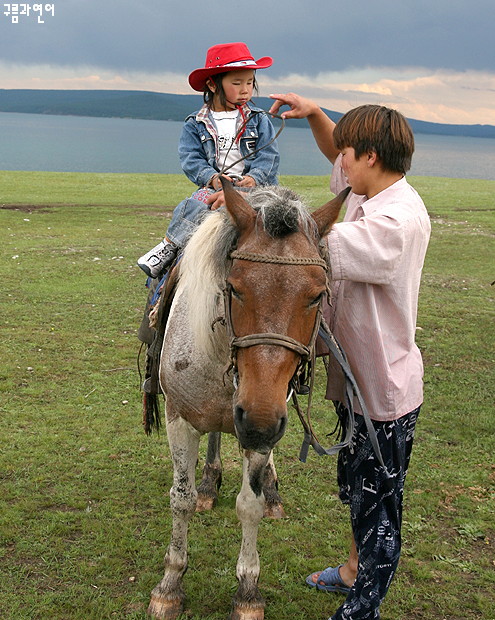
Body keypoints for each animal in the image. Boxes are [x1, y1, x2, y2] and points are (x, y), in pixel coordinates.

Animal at [146, 180, 348, 620]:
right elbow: (180, 499)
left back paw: (271, 491)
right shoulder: (178, 418)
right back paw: (209, 483)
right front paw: (169, 586)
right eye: (234, 286)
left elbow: (248, 505)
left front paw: (248, 591)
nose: (257, 421)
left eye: (317, 295)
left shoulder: (264, 421)